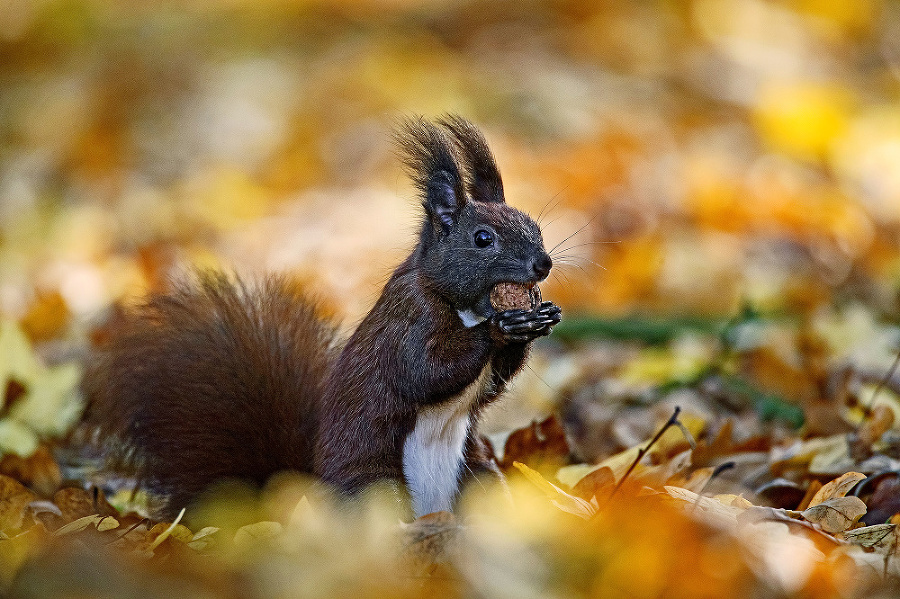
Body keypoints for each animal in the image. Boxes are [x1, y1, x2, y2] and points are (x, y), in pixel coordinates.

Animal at [82, 116, 564, 520]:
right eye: (483, 239)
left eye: (534, 226)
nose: (542, 265)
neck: (464, 304)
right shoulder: (409, 319)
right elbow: (425, 372)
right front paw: (501, 329)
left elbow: (490, 386)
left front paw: (536, 319)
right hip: (376, 488)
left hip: (478, 477)